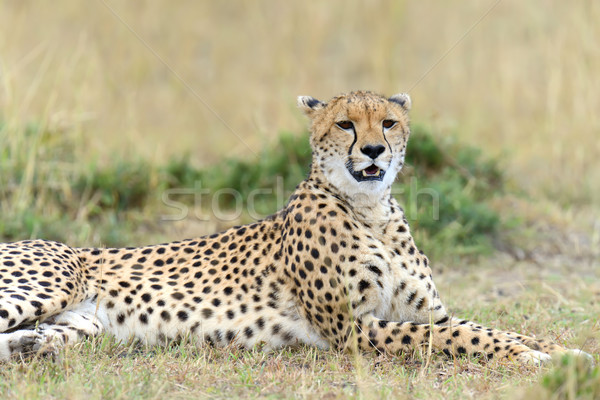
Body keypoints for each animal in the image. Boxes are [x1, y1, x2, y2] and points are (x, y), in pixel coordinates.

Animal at [0, 92, 592, 364]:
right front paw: (539, 358)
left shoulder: (420, 311)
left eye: (389, 123)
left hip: (83, 324)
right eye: (346, 124)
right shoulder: (356, 330)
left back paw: (31, 346)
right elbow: (462, 335)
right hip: (53, 282)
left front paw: (562, 351)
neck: (371, 210)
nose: (373, 150)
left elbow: (493, 327)